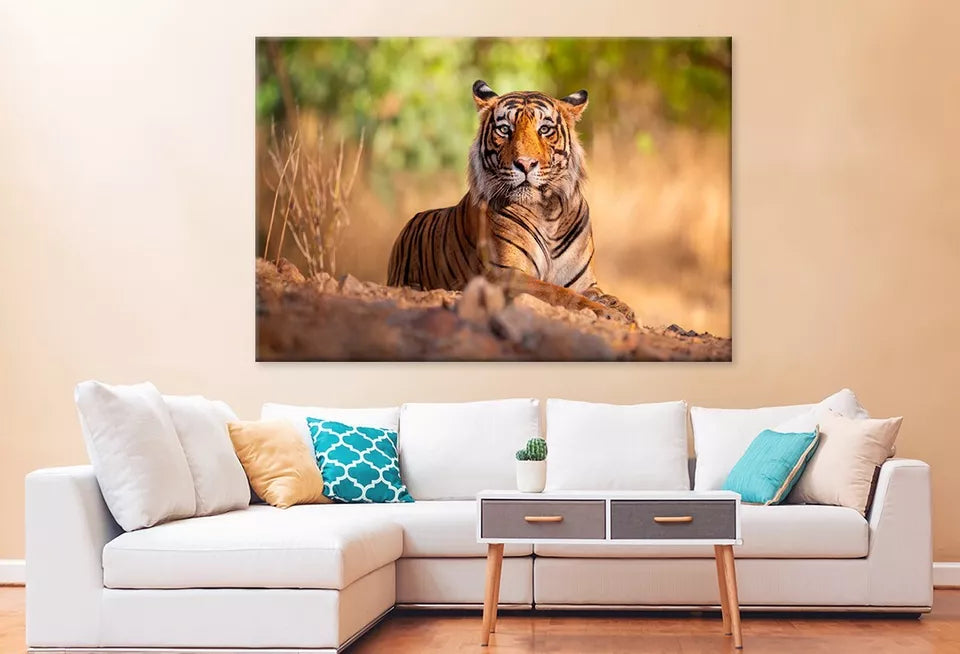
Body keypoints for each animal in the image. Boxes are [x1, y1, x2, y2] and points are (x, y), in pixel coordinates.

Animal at [386, 80, 636, 325]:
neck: (548, 213)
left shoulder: (583, 281)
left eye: (544, 129)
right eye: (505, 129)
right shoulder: (506, 274)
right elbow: (556, 291)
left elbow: (602, 294)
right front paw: (606, 313)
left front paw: (622, 308)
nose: (525, 164)